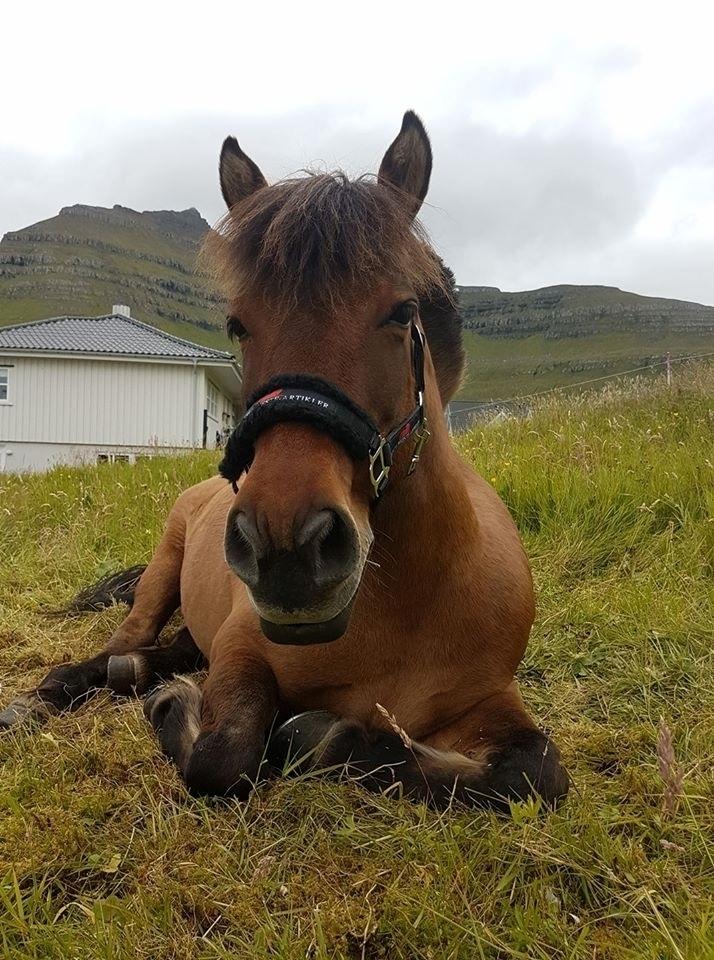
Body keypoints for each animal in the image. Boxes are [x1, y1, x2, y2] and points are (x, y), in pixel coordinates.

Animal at [0, 114, 568, 808]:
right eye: (237, 324)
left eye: (403, 310)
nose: (286, 545)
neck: (404, 606)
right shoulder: (243, 654)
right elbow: (223, 753)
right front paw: (179, 711)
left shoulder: (488, 699)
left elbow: (533, 773)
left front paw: (324, 737)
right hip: (162, 571)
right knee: (119, 650)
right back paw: (54, 693)